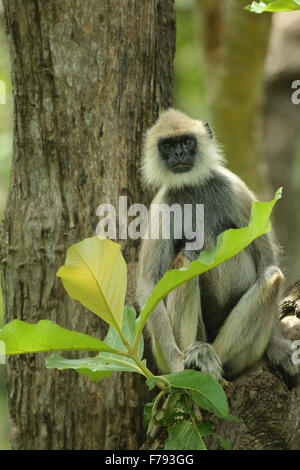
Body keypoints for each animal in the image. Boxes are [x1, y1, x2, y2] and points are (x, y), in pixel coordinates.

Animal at [137, 109, 300, 382]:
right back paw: (196, 356)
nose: (178, 154)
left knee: (271, 277)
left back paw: (213, 357)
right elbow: (149, 284)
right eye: (168, 145)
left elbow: (267, 260)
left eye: (187, 141)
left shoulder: (234, 187)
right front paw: (177, 363)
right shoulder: (163, 204)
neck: (193, 187)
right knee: (187, 257)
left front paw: (277, 346)